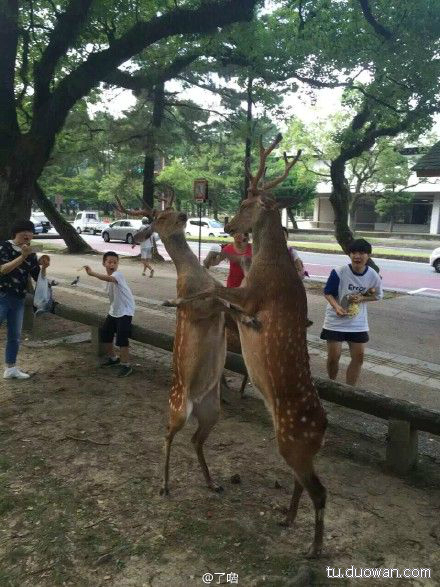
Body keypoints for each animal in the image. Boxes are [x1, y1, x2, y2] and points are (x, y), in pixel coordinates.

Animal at [114, 194, 258, 496]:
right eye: (159, 217)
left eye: (171, 207)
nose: (182, 215)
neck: (195, 277)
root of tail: (195, 402)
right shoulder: (198, 308)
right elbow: (211, 301)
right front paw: (171, 302)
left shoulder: (217, 304)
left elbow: (230, 305)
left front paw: (251, 318)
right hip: (179, 409)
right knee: (167, 433)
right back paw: (164, 485)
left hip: (212, 412)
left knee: (195, 439)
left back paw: (212, 482)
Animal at [174, 134, 328, 560]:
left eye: (246, 204)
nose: (226, 225)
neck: (269, 265)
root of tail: (325, 430)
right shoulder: (245, 296)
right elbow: (218, 294)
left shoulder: (254, 294)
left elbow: (215, 290)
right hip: (295, 446)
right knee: (303, 483)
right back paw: (287, 518)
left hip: (294, 442)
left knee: (321, 493)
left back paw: (313, 548)